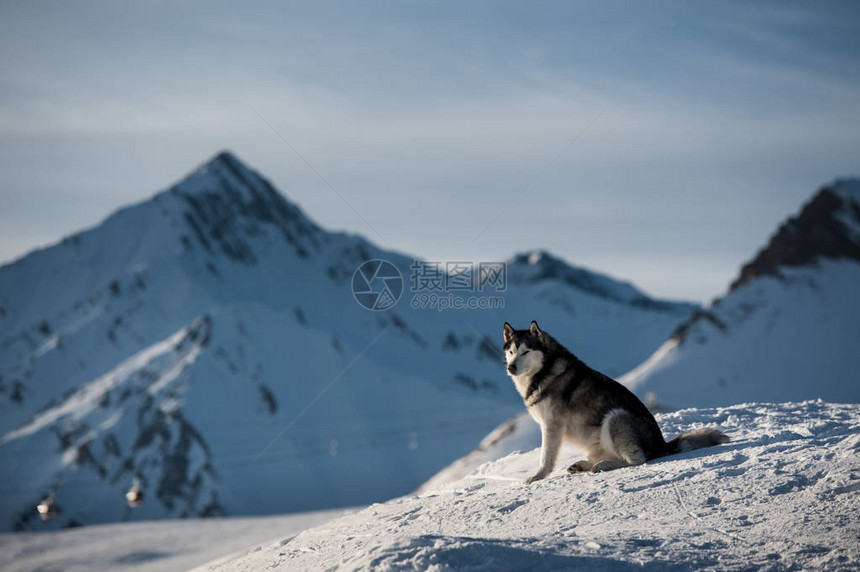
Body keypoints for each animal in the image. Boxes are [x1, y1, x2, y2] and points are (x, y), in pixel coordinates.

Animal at [504, 322, 724, 482]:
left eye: (526, 351)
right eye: (511, 352)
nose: (511, 367)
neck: (542, 372)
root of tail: (661, 445)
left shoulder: (552, 425)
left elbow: (545, 457)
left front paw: (536, 477)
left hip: (615, 416)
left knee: (637, 459)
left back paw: (601, 466)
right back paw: (583, 465)